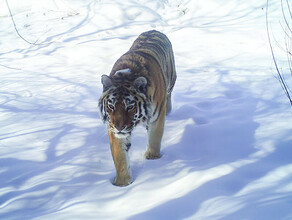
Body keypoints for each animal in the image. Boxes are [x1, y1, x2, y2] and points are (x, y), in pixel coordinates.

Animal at [98, 30, 176, 186]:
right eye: (111, 106)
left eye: (130, 107)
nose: (119, 127)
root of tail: (154, 30)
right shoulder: (112, 127)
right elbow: (120, 156)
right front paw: (122, 184)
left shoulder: (156, 118)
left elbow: (155, 138)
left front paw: (152, 158)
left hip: (171, 80)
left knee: (169, 95)